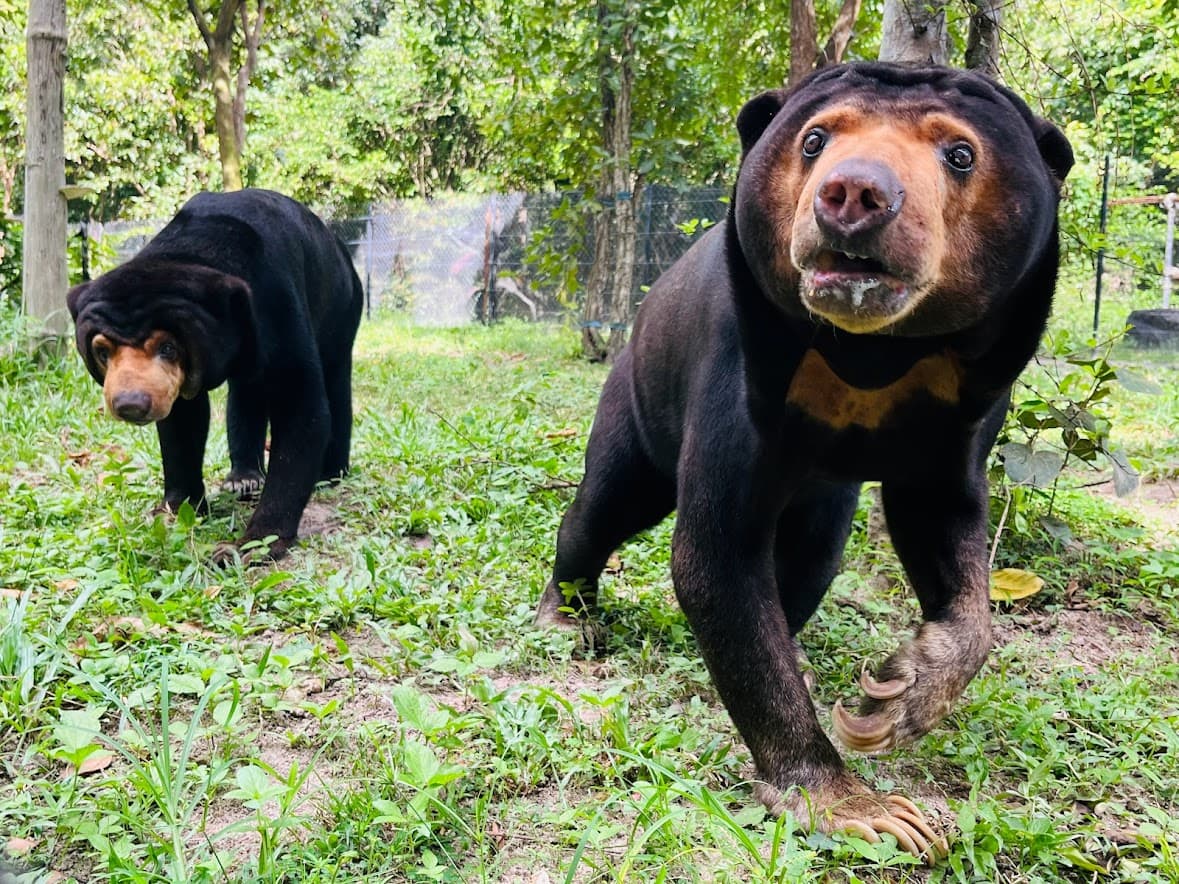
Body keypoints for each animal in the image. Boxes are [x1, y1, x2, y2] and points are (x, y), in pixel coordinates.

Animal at [67, 188, 364, 562]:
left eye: (168, 347)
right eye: (103, 351)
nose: (131, 404)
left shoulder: (278, 303)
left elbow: (300, 408)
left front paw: (255, 544)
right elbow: (183, 420)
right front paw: (176, 509)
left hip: (344, 307)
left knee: (336, 379)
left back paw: (331, 473)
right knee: (247, 391)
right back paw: (244, 477)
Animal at [535, 63, 1073, 861]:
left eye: (960, 155)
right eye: (815, 140)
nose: (853, 194)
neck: (873, 352)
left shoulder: (967, 407)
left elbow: (944, 528)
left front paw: (896, 696)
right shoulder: (740, 371)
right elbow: (716, 553)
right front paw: (858, 806)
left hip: (823, 500)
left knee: (811, 559)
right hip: (639, 396)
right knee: (601, 509)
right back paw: (565, 617)